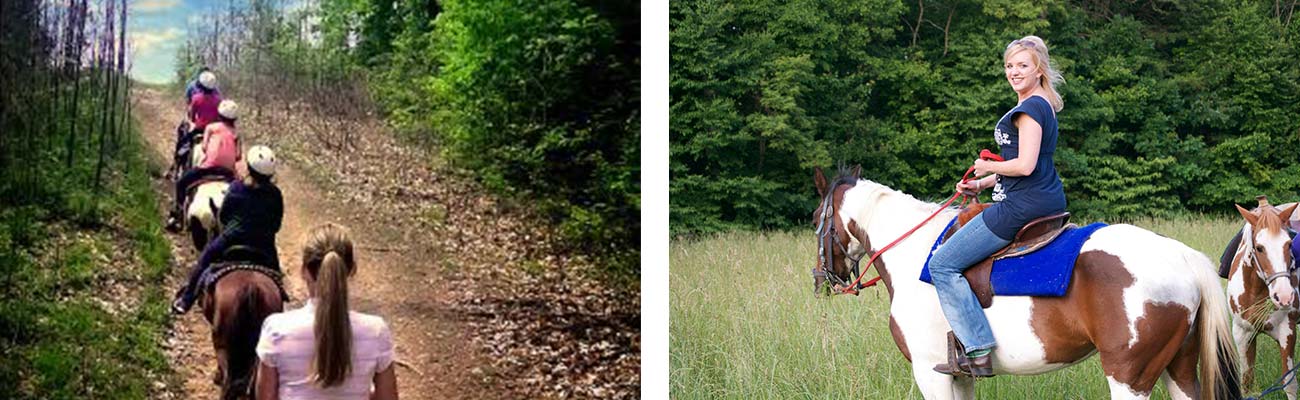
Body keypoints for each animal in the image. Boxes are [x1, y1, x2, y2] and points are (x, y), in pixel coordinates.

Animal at [806, 167, 1242, 400]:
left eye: (814, 219)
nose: (822, 280)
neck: (916, 253)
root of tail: (1183, 257)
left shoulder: (931, 373)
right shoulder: (958, 376)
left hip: (1129, 378)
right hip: (1178, 369)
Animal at [1222, 197, 1294, 397]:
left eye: (1289, 244)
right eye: (1260, 248)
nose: (1284, 296)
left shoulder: (1287, 332)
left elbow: (1290, 384)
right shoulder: (1242, 334)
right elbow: (1246, 383)